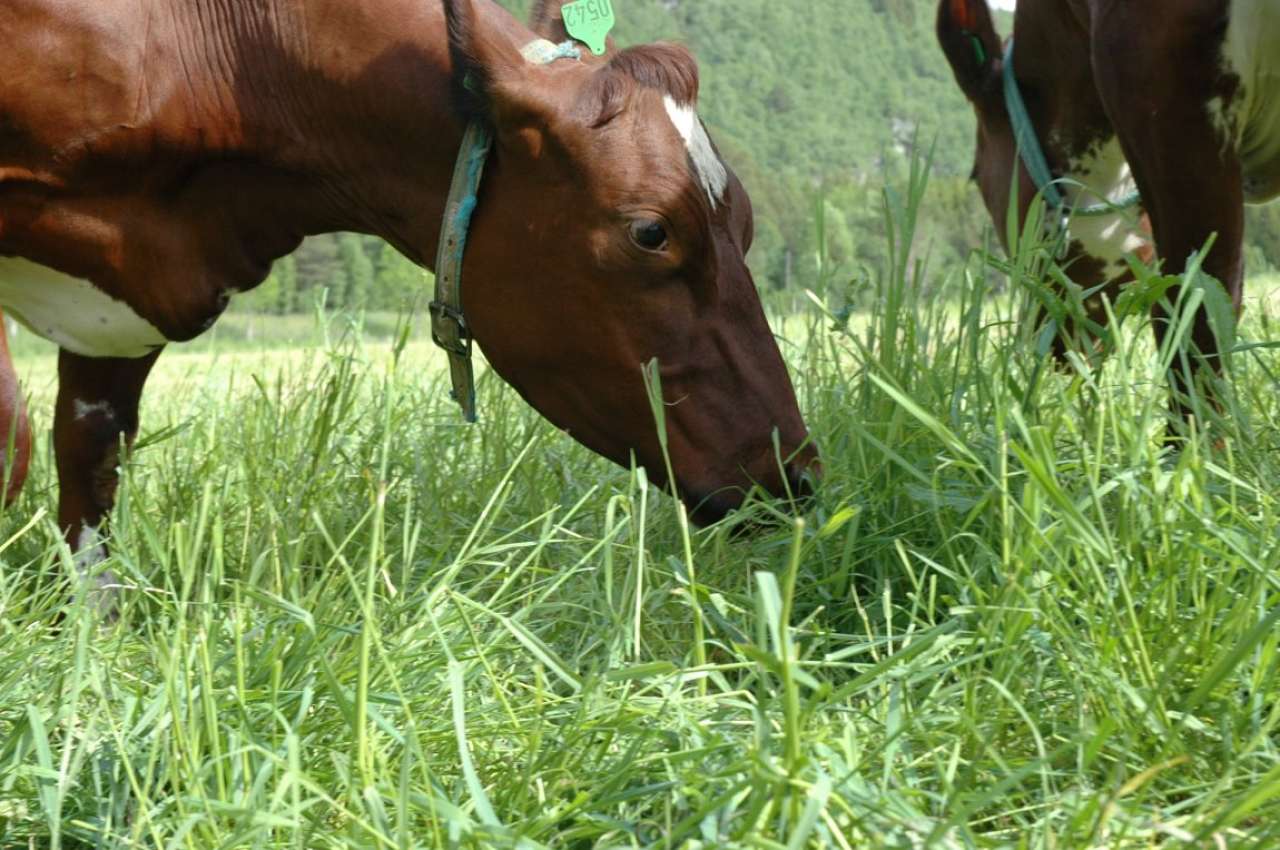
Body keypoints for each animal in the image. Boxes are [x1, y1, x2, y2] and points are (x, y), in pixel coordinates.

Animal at [0, 0, 819, 593]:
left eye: (747, 221)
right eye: (652, 231)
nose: (797, 475)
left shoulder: (123, 308)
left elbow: (91, 469)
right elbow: (17, 440)